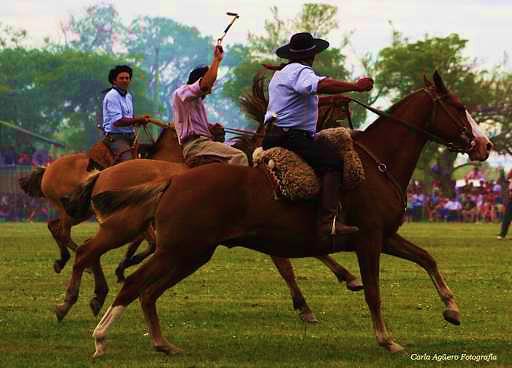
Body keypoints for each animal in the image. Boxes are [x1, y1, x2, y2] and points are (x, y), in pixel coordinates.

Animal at [60, 69, 492, 356]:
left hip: (189, 254)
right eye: (458, 106)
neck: (376, 163)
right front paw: (387, 339)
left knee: (146, 290)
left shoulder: (385, 237)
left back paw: (161, 342)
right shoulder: (369, 239)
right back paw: (98, 334)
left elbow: (427, 258)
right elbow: (372, 291)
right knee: (130, 280)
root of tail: (172, 182)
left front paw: (452, 308)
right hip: (177, 249)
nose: (485, 145)